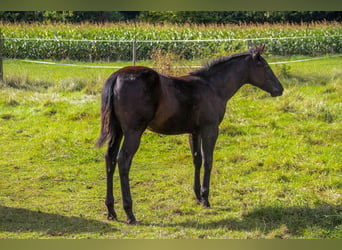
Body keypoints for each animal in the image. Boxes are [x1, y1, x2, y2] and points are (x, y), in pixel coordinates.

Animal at [96, 46, 284, 224]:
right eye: (265, 66)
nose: (280, 89)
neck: (213, 86)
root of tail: (116, 77)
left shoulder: (194, 131)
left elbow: (197, 160)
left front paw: (198, 196)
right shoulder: (210, 129)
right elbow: (208, 161)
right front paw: (206, 198)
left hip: (117, 131)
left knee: (110, 159)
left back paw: (111, 211)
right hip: (133, 132)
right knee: (123, 161)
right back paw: (129, 213)